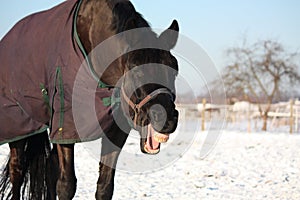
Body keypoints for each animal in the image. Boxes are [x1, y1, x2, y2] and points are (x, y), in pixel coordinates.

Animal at [0, 0, 178, 199]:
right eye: (136, 70)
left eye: (174, 70)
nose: (167, 119)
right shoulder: (65, 127)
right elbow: (67, 185)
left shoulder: (115, 131)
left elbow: (104, 187)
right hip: (18, 124)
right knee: (17, 170)